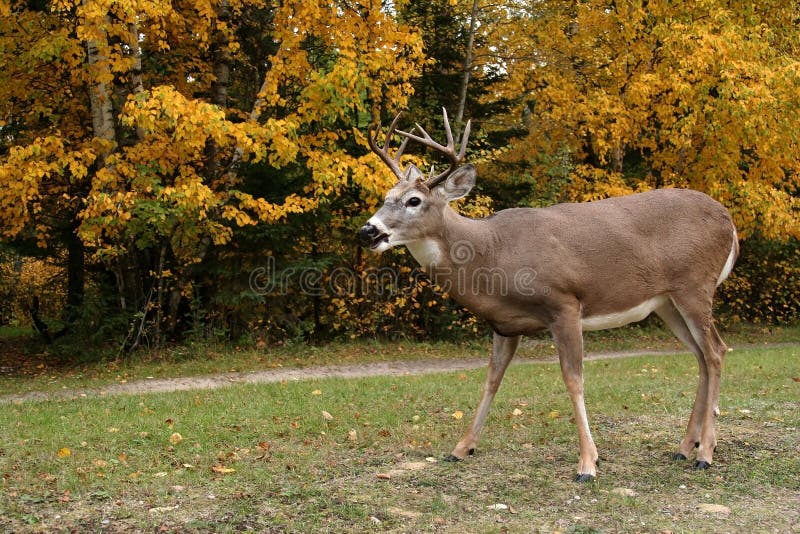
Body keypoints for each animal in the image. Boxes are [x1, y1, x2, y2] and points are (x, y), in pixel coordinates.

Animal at [358, 109, 739, 482]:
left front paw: (587, 463)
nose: (368, 231)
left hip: (695, 285)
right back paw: (686, 447)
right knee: (701, 355)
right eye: (385, 198)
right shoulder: (503, 324)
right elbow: (491, 381)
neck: (492, 254)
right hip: (667, 302)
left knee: (716, 351)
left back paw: (705, 453)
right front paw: (461, 448)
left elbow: (573, 379)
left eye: (414, 200)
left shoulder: (564, 303)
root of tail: (730, 221)